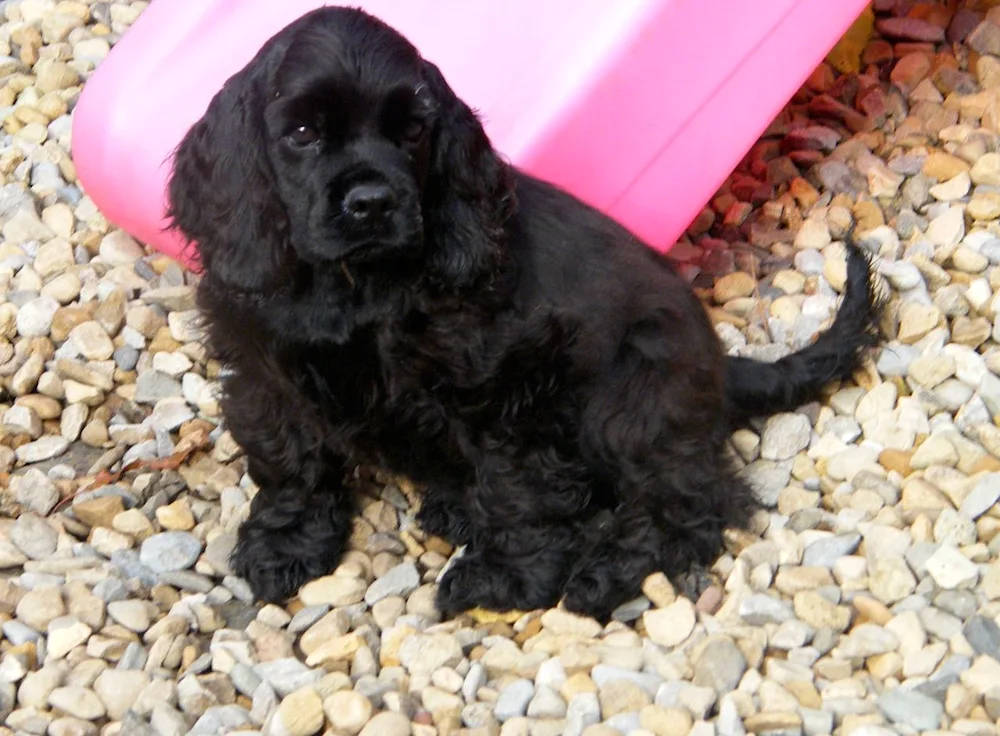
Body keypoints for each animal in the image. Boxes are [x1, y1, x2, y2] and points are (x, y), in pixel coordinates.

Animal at [166, 8, 884, 620]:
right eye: (302, 133)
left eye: (412, 130)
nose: (371, 202)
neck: (361, 285)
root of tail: (719, 367)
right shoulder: (266, 371)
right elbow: (291, 462)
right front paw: (284, 545)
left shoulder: (505, 383)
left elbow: (515, 485)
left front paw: (506, 577)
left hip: (634, 397)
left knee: (689, 502)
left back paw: (603, 571)